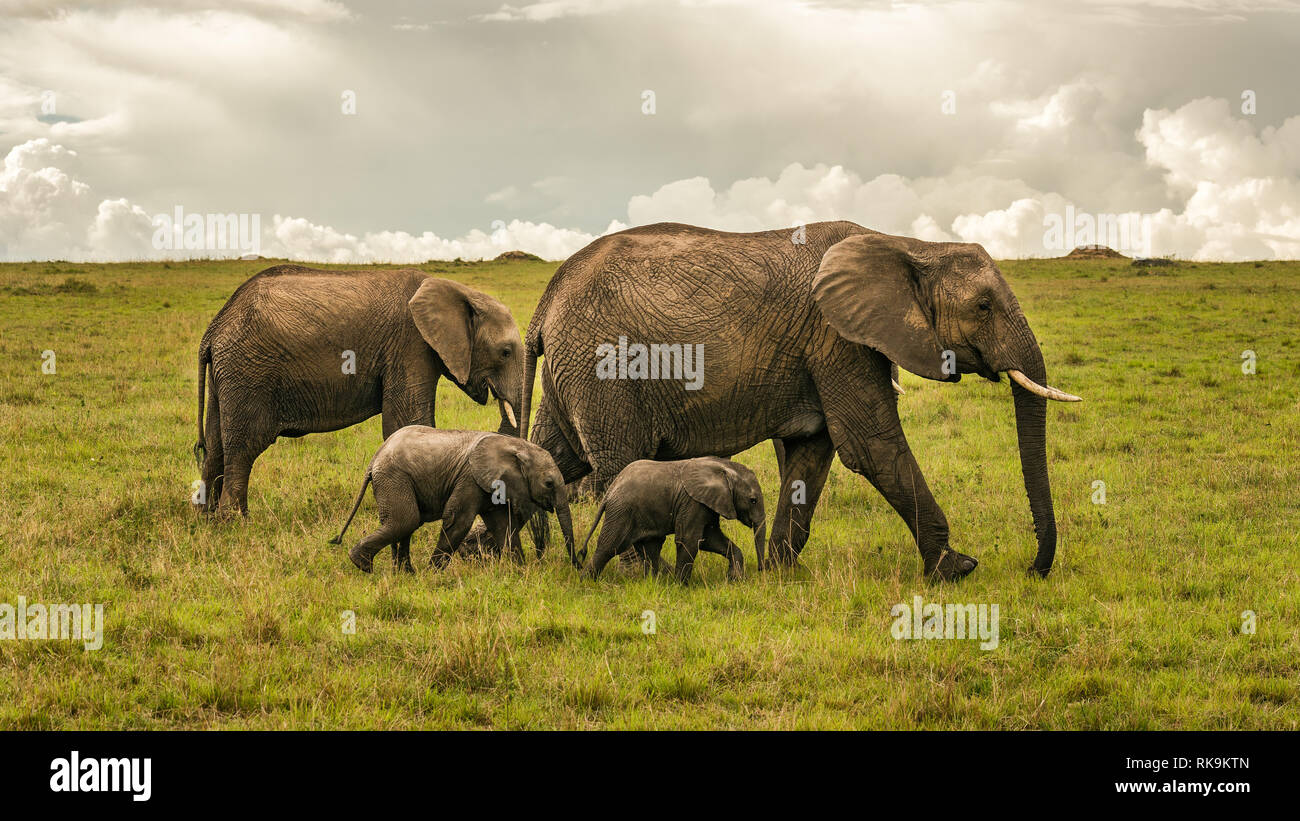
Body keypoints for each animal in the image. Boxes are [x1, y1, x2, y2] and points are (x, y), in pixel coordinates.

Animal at [194, 265, 523, 516]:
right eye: (505, 352)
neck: (460, 291)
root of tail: (214, 328)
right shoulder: (410, 346)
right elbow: (407, 421)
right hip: (248, 371)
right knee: (244, 446)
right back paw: (235, 520)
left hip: (227, 374)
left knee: (215, 443)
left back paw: (206, 518)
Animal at [330, 426, 577, 573]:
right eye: (549, 483)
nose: (577, 564)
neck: (516, 445)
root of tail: (374, 459)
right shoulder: (469, 478)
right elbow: (458, 521)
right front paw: (432, 574)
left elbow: (504, 525)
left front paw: (519, 571)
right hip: (394, 477)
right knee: (406, 521)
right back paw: (362, 564)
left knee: (404, 524)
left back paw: (404, 573)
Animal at [582, 456, 766, 583]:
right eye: (753, 500)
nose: (760, 570)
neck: (724, 467)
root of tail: (611, 489)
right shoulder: (692, 503)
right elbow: (689, 540)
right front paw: (681, 586)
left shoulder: (708, 503)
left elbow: (710, 539)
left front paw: (734, 578)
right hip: (621, 511)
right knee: (609, 546)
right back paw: (587, 581)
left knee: (650, 548)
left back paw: (654, 582)